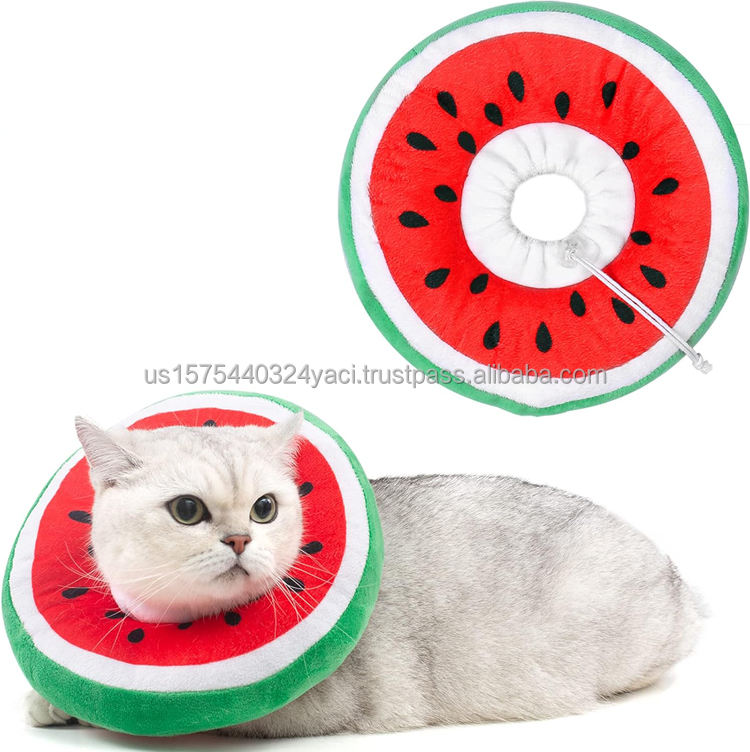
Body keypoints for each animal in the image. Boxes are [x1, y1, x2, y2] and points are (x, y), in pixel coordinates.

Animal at [25, 415, 702, 735]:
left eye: (264, 508)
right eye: (187, 511)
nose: (241, 539)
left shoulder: (313, 704)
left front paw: (69, 711)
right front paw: (50, 704)